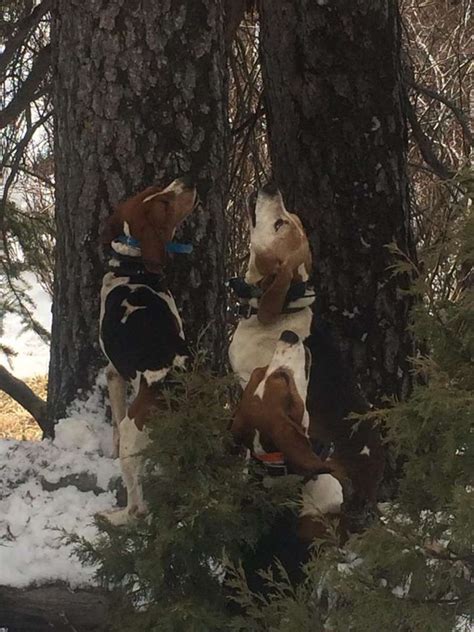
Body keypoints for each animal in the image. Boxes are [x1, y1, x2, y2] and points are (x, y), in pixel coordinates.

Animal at [99, 177, 197, 524]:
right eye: (161, 199)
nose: (186, 180)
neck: (134, 267)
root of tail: (174, 389)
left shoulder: (113, 373)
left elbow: (115, 419)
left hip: (133, 435)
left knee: (137, 508)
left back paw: (112, 517)